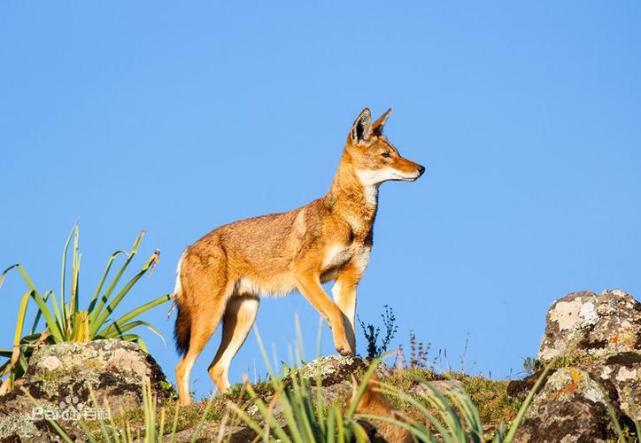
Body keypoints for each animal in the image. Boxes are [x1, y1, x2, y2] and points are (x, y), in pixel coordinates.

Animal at [174, 107, 424, 406]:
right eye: (387, 155)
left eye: (398, 152)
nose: (422, 168)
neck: (352, 221)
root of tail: (187, 249)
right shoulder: (305, 275)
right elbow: (334, 314)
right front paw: (341, 348)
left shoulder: (348, 282)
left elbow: (349, 326)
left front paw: (352, 364)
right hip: (210, 319)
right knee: (183, 366)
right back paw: (188, 408)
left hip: (245, 316)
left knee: (216, 368)